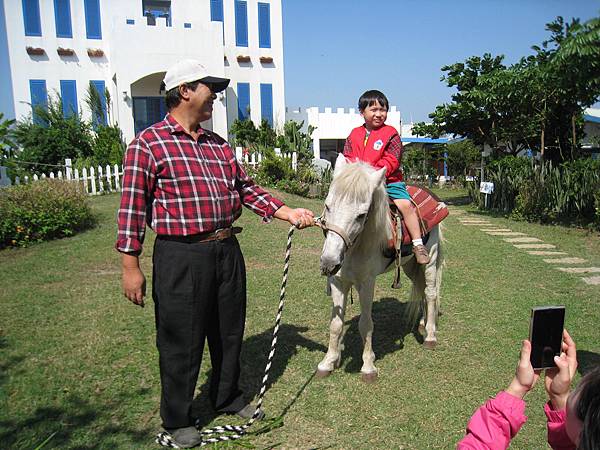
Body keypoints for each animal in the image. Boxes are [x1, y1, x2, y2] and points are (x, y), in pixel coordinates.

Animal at [318, 153, 440, 382]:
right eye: (328, 206)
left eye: (361, 215)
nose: (328, 262)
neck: (354, 248)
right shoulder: (338, 281)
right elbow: (335, 324)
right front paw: (328, 361)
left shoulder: (366, 283)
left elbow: (366, 324)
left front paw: (368, 366)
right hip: (410, 266)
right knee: (421, 289)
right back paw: (421, 322)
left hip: (431, 260)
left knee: (430, 293)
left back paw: (429, 335)